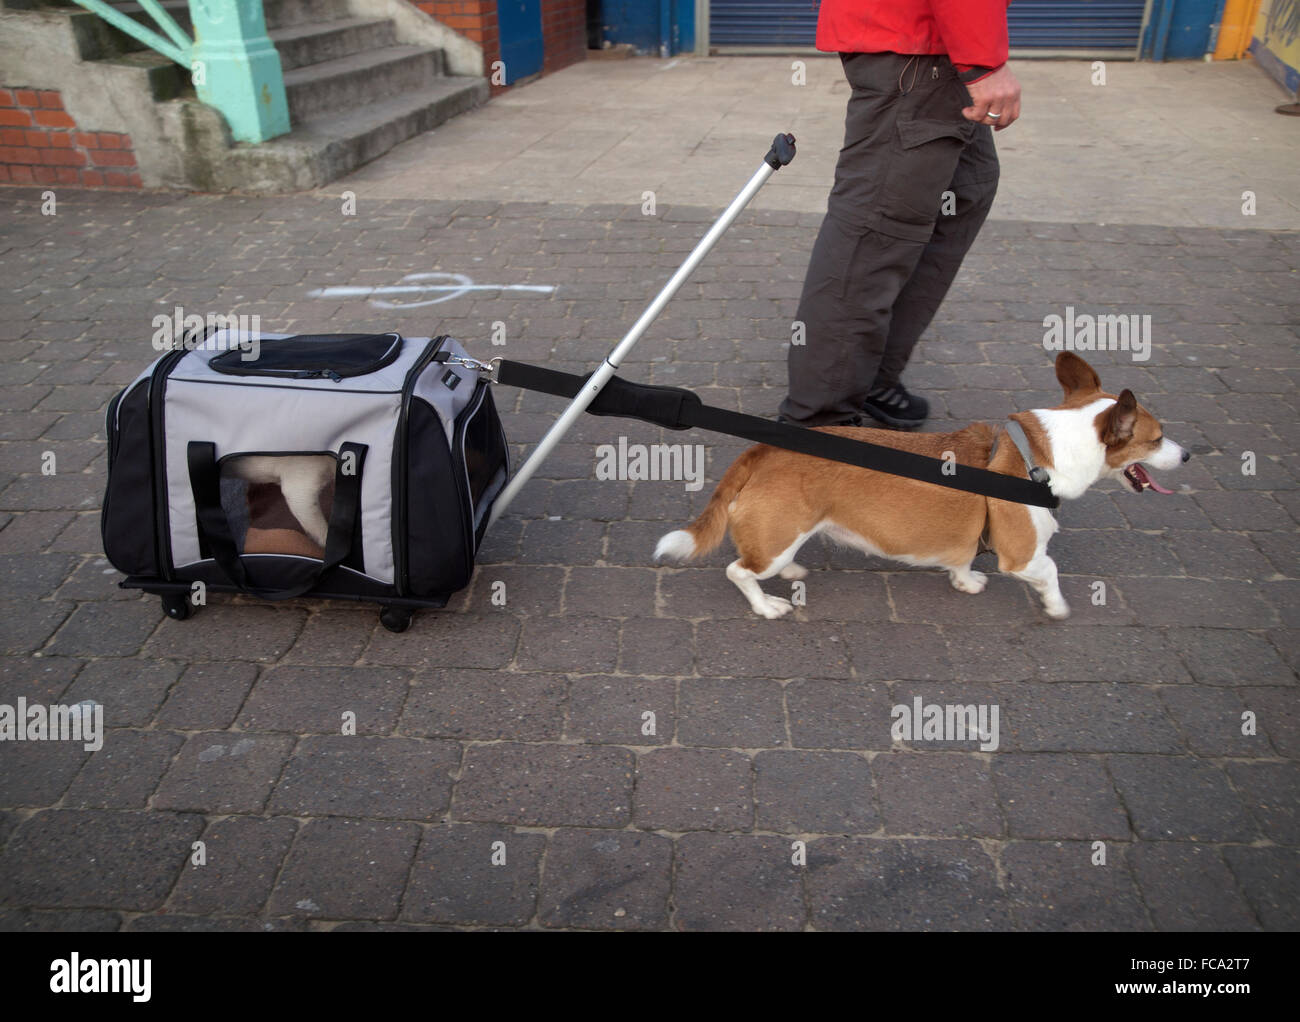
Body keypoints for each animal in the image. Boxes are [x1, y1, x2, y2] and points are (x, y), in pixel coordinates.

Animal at [660, 353, 1190, 616]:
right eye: (1157, 437)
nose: (1188, 455)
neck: (1041, 454)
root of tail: (762, 450)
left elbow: (961, 560)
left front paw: (966, 581)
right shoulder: (1022, 556)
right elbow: (1052, 573)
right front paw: (1056, 607)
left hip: (786, 535)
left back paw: (791, 571)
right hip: (772, 539)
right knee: (739, 572)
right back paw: (767, 606)